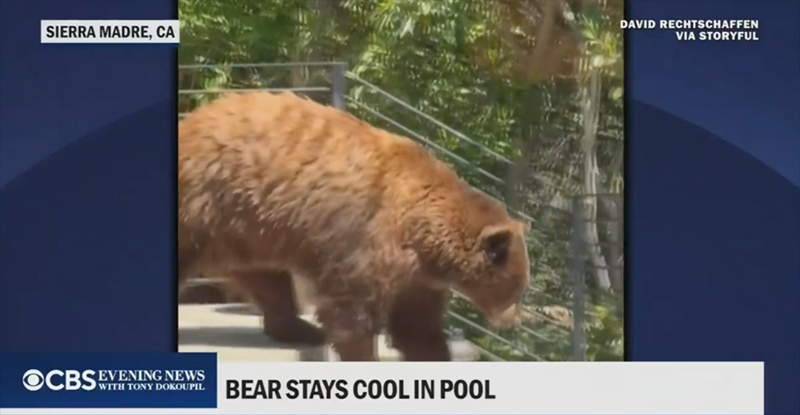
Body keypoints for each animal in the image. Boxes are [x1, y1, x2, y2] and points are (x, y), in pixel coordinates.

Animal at [178, 90, 531, 361]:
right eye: (515, 287)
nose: (512, 321)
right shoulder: (365, 238)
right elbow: (352, 310)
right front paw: (362, 353)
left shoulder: (416, 277)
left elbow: (417, 324)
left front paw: (432, 353)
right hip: (206, 203)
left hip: (249, 228)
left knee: (268, 281)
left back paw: (299, 329)